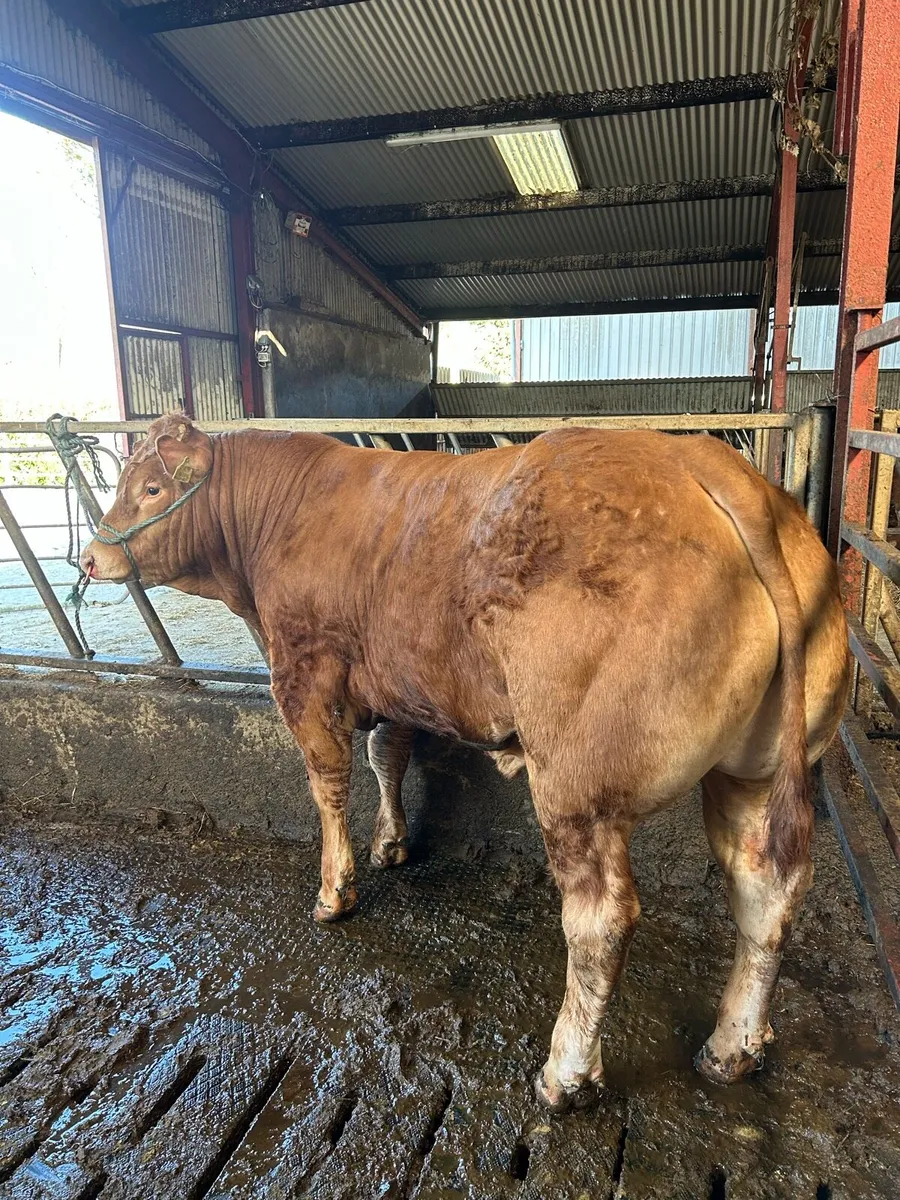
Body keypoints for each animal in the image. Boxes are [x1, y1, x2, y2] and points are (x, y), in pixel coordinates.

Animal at [81, 413, 849, 1112]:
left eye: (152, 488)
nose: (89, 558)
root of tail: (704, 459)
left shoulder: (304, 673)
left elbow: (328, 783)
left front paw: (335, 889)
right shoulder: (390, 677)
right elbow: (386, 752)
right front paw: (391, 842)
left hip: (577, 783)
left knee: (600, 919)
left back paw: (566, 1072)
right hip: (754, 771)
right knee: (765, 890)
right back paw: (733, 1047)